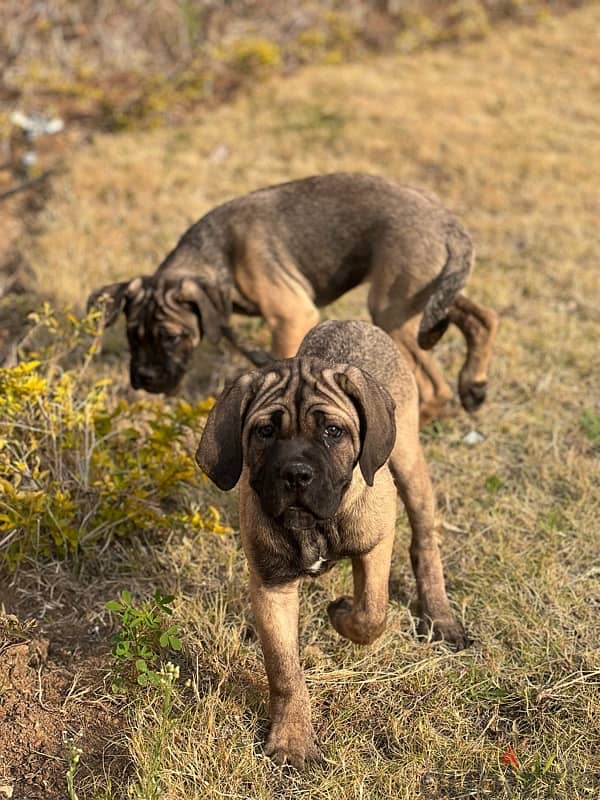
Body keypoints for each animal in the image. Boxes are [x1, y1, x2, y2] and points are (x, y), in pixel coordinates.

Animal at [88, 173, 496, 428]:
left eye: (172, 337)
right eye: (132, 336)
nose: (144, 378)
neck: (219, 254)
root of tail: (446, 222)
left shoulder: (292, 316)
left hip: (392, 309)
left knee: (435, 386)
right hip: (423, 297)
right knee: (483, 317)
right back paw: (473, 386)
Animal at [197, 318, 468, 768]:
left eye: (333, 431)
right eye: (264, 432)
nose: (296, 474)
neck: (315, 526)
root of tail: (352, 320)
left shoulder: (377, 543)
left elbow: (371, 614)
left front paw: (341, 613)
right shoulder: (271, 584)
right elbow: (284, 669)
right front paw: (292, 739)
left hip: (409, 463)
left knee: (424, 542)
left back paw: (440, 615)